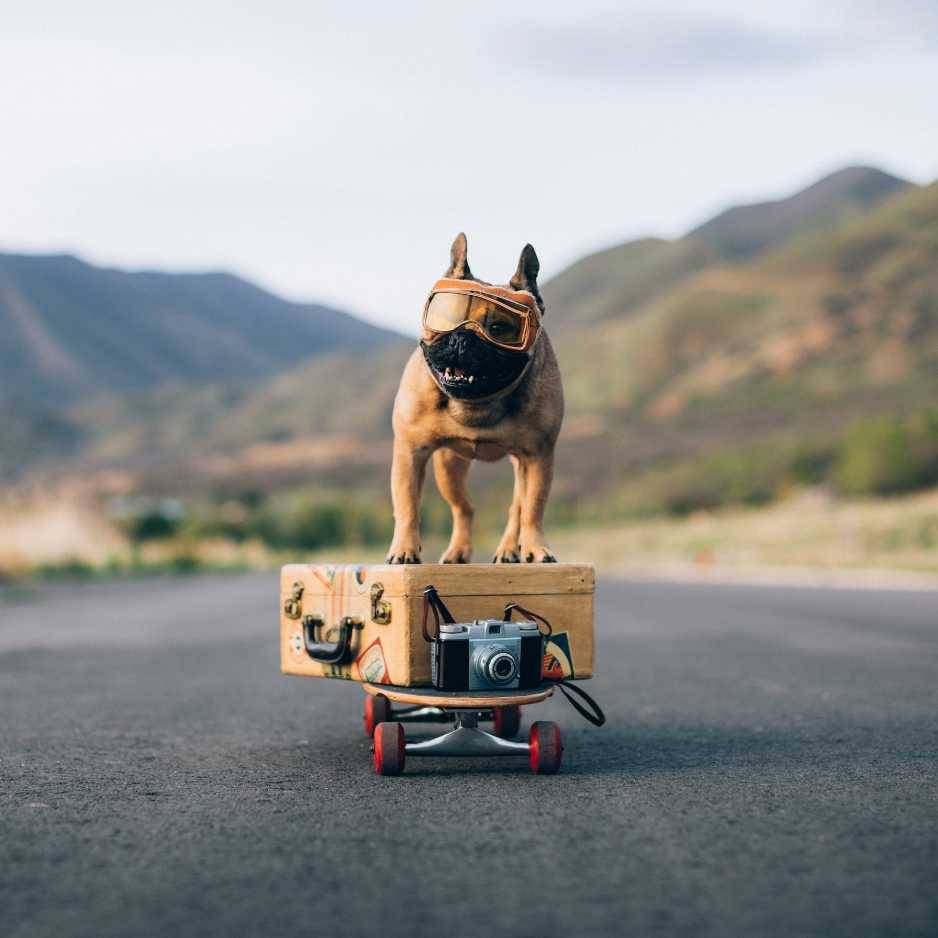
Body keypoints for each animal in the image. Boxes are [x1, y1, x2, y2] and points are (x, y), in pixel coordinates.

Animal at [384, 232, 560, 564]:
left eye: (500, 328)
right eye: (446, 317)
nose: (463, 339)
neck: (478, 402)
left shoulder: (537, 457)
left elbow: (534, 508)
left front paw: (536, 548)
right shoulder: (410, 452)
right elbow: (407, 505)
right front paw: (404, 550)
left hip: (519, 466)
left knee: (517, 508)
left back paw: (509, 550)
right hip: (448, 466)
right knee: (464, 508)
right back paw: (458, 551)